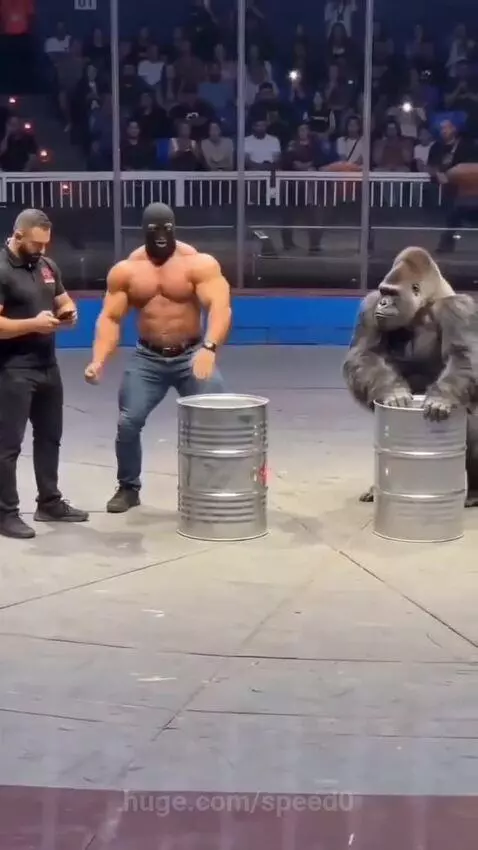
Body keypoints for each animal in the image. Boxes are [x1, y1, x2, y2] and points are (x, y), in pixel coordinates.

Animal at [343, 247, 478, 507]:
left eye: (393, 294)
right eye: (383, 292)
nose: (384, 302)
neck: (424, 305)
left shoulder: (459, 307)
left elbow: (463, 355)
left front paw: (442, 398)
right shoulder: (370, 305)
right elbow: (364, 353)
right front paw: (393, 392)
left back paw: (475, 492)